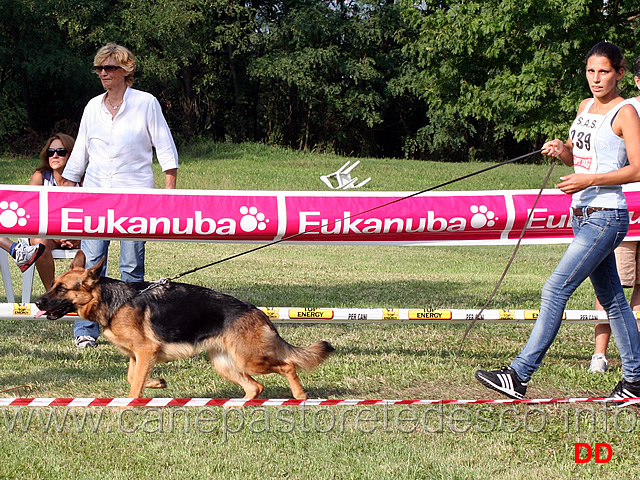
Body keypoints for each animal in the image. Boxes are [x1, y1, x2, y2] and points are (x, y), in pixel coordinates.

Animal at [35, 249, 336, 400]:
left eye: (61, 289)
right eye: (52, 284)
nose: (37, 302)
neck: (113, 301)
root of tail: (259, 313)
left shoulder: (145, 351)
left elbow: (134, 383)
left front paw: (128, 406)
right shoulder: (137, 355)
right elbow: (133, 377)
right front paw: (156, 383)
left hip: (250, 360)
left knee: (287, 366)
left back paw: (299, 395)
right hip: (225, 364)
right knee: (255, 388)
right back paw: (234, 407)